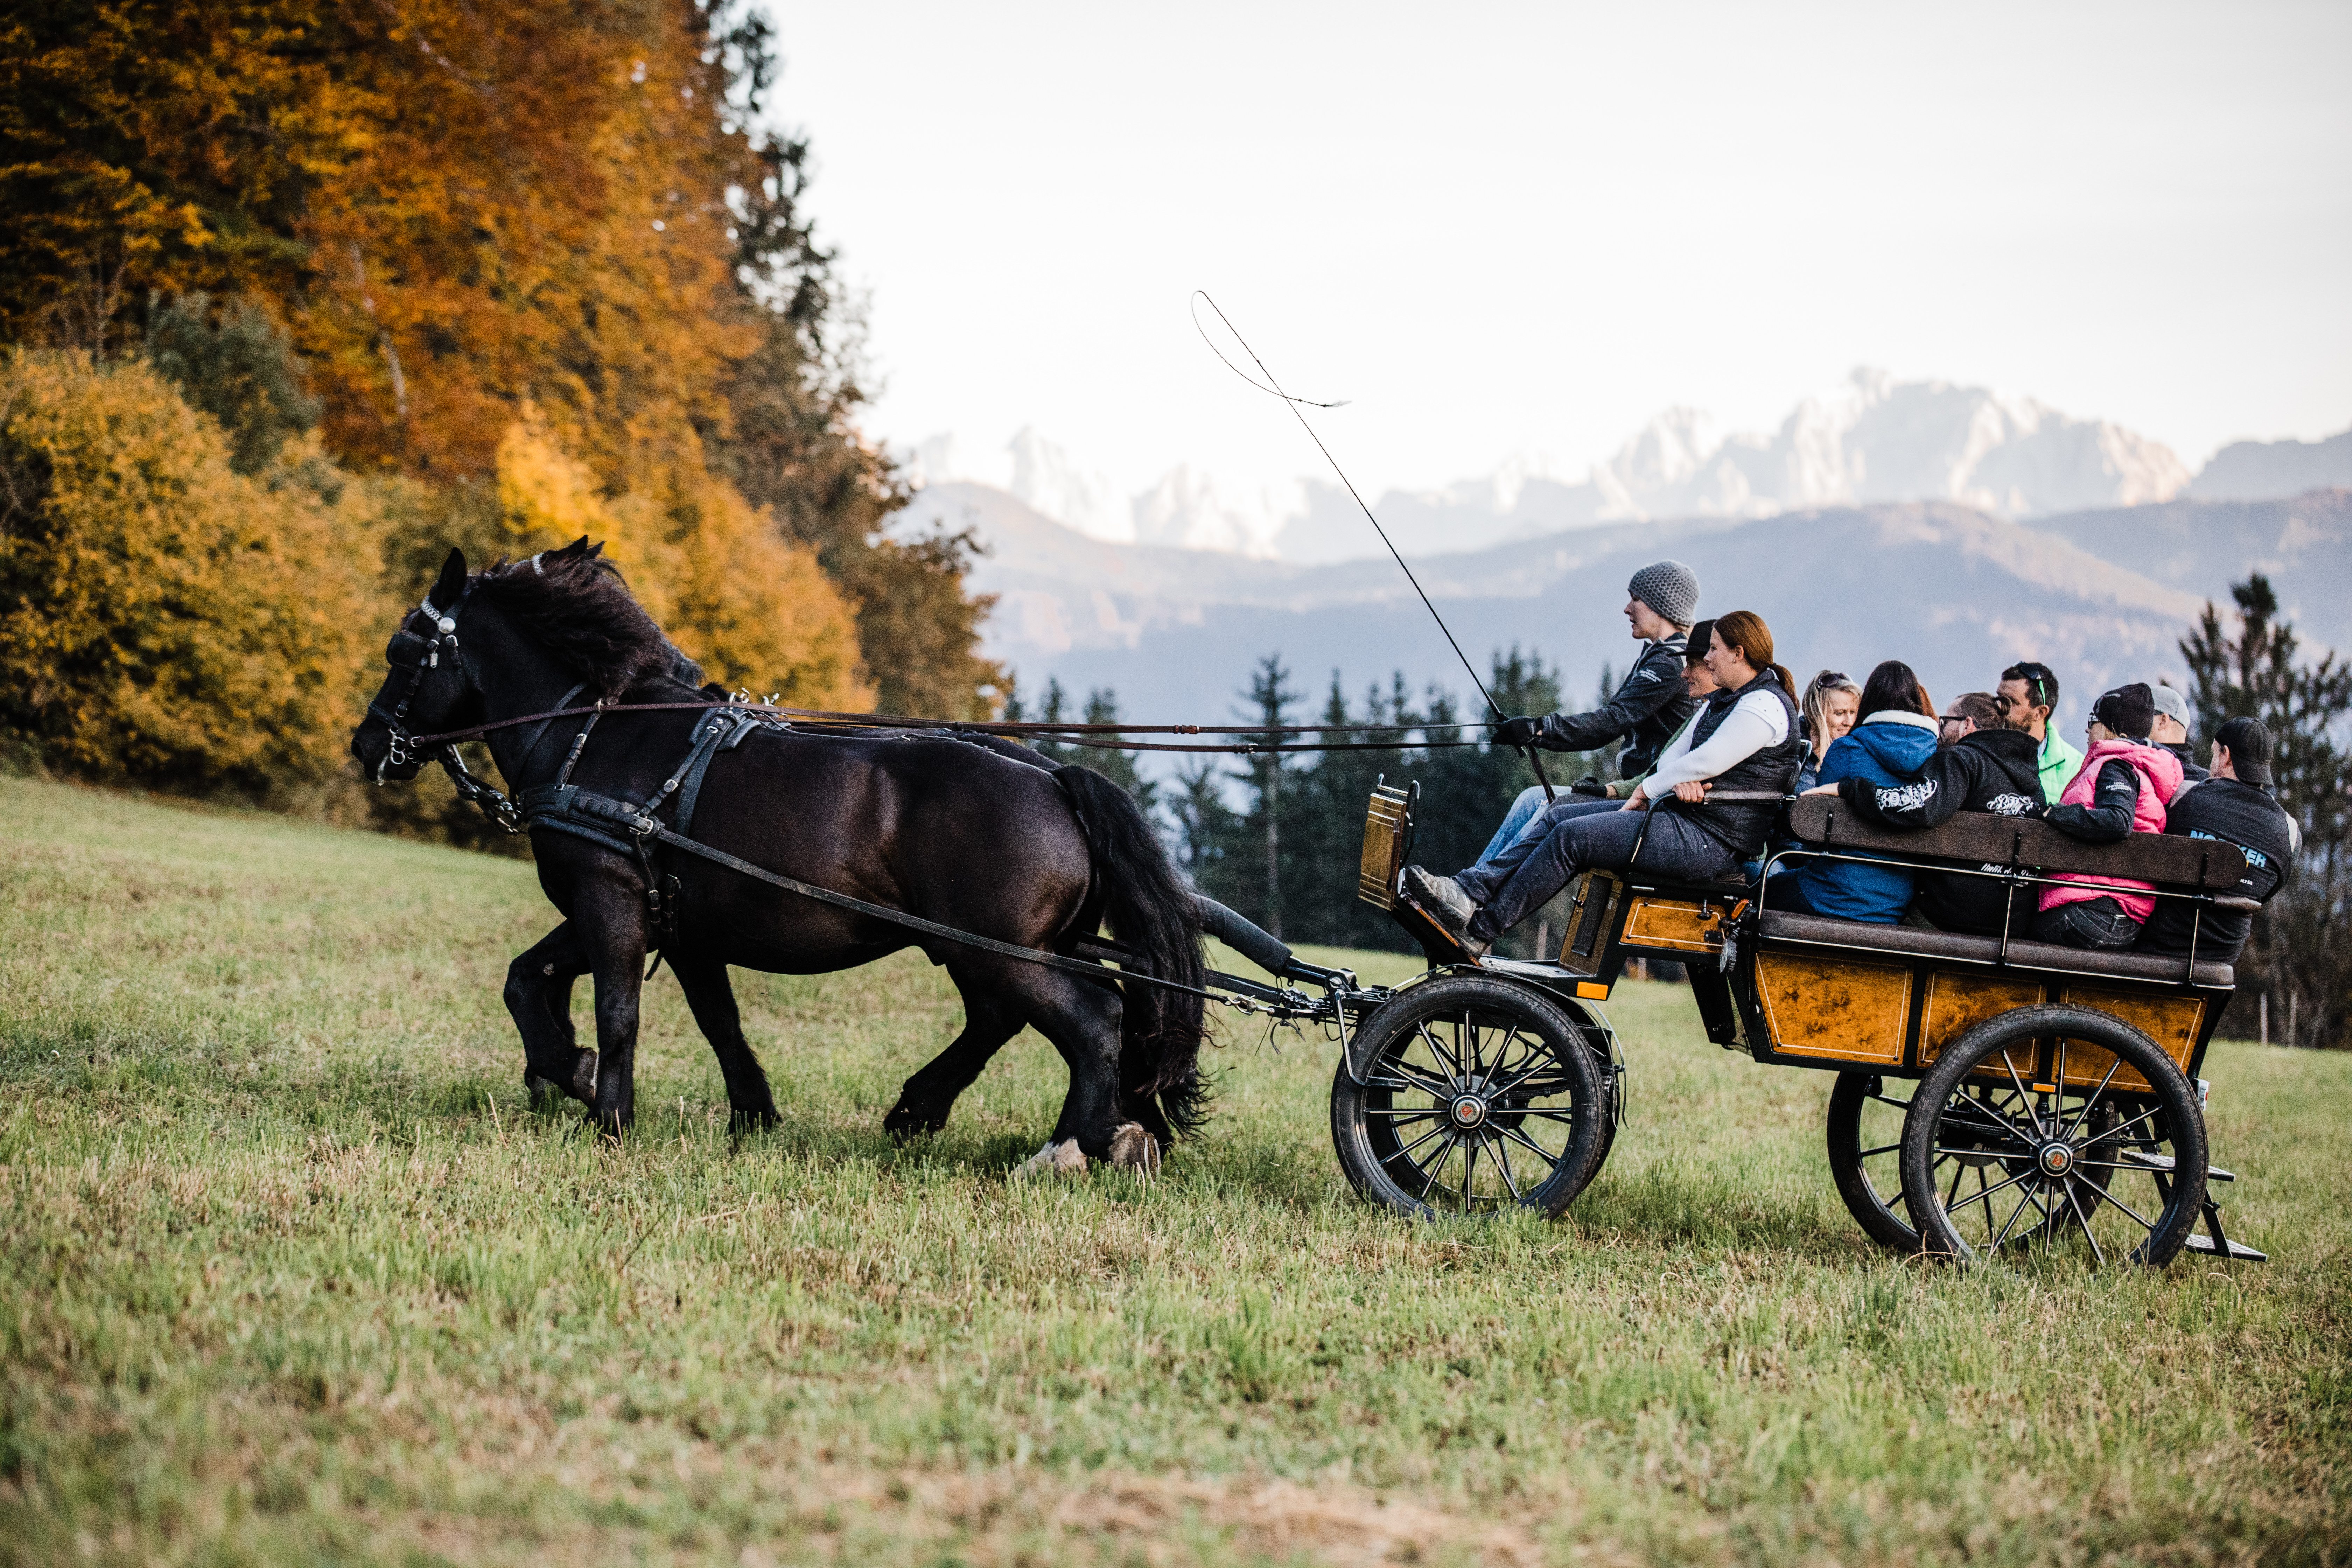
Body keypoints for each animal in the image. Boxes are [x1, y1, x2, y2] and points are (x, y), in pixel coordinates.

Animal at [348, 545, 1213, 1170]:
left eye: (402, 647)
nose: (365, 744)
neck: (597, 732)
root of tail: (1056, 777)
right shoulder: (677, 927)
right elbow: (588, 991)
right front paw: (722, 1104)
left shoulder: (611, 900)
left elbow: (618, 1011)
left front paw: (609, 1114)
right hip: (990, 950)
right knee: (1017, 1018)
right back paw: (930, 1110)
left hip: (1004, 951)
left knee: (1092, 1020)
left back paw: (1075, 1144)